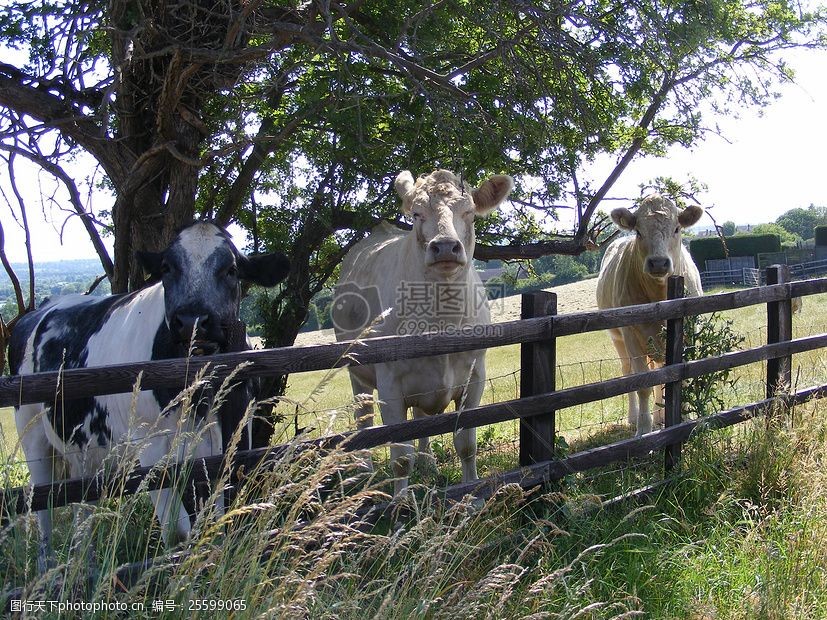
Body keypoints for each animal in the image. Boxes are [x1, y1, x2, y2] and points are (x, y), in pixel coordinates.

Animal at [9, 220, 292, 568]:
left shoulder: (236, 435)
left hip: (84, 447)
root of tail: (46, 306)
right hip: (32, 434)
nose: (192, 321)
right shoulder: (152, 446)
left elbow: (219, 519)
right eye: (167, 267)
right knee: (42, 504)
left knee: (81, 505)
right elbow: (178, 531)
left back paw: (84, 564)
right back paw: (47, 566)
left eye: (231, 269)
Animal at [332, 167, 516, 492]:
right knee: (363, 419)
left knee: (420, 419)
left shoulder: (475, 376)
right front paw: (401, 502)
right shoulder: (390, 384)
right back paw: (365, 470)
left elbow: (466, 443)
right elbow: (400, 458)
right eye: (416, 213)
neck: (442, 320)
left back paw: (428, 462)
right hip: (357, 372)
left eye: (469, 212)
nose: (444, 246)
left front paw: (473, 494)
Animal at [596, 194, 704, 436]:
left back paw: (660, 416)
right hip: (618, 339)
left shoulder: (689, 331)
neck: (660, 295)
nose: (658, 262)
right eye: (638, 231)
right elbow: (642, 384)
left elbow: (679, 378)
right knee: (628, 373)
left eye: (676, 228)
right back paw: (635, 418)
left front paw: (685, 418)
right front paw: (644, 429)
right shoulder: (630, 335)